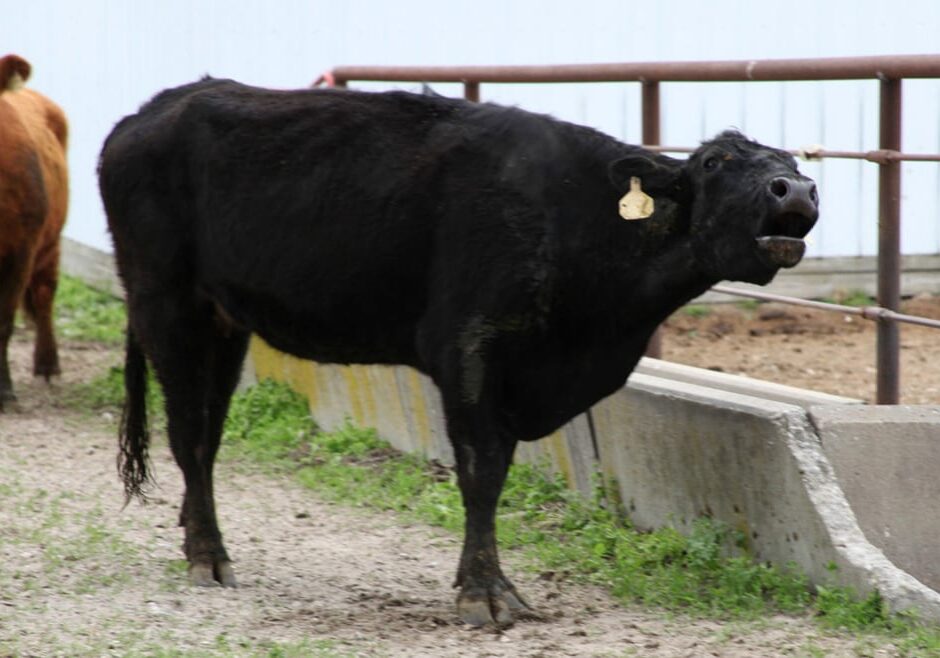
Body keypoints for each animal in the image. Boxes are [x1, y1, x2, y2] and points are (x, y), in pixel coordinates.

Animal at [98, 78, 818, 628]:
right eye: (714, 164)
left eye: (793, 165)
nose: (796, 190)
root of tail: (155, 108)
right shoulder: (469, 347)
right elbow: (482, 471)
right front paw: (486, 594)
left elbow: (493, 473)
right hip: (167, 302)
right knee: (188, 431)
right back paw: (208, 554)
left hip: (225, 322)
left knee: (208, 432)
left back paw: (199, 538)